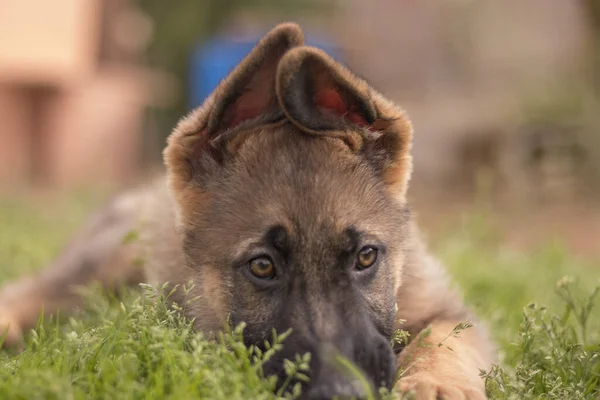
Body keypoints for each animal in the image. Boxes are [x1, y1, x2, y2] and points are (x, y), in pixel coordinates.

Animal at [0, 23, 494, 398]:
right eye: (262, 266)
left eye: (366, 257)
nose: (343, 392)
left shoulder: (447, 308)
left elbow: (442, 340)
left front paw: (434, 384)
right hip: (103, 263)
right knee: (36, 290)